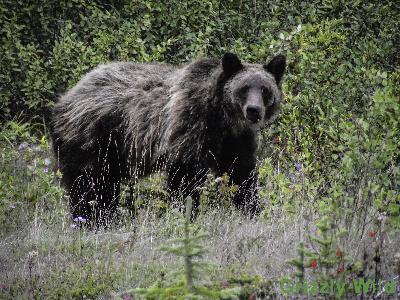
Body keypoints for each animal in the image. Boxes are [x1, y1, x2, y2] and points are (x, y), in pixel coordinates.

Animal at [50, 52, 284, 225]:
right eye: (244, 88)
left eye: (264, 89)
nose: (254, 110)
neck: (222, 118)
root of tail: (66, 96)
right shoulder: (189, 125)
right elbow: (185, 178)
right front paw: (186, 215)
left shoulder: (235, 140)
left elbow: (241, 174)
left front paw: (252, 210)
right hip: (96, 137)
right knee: (89, 186)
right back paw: (91, 221)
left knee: (106, 187)